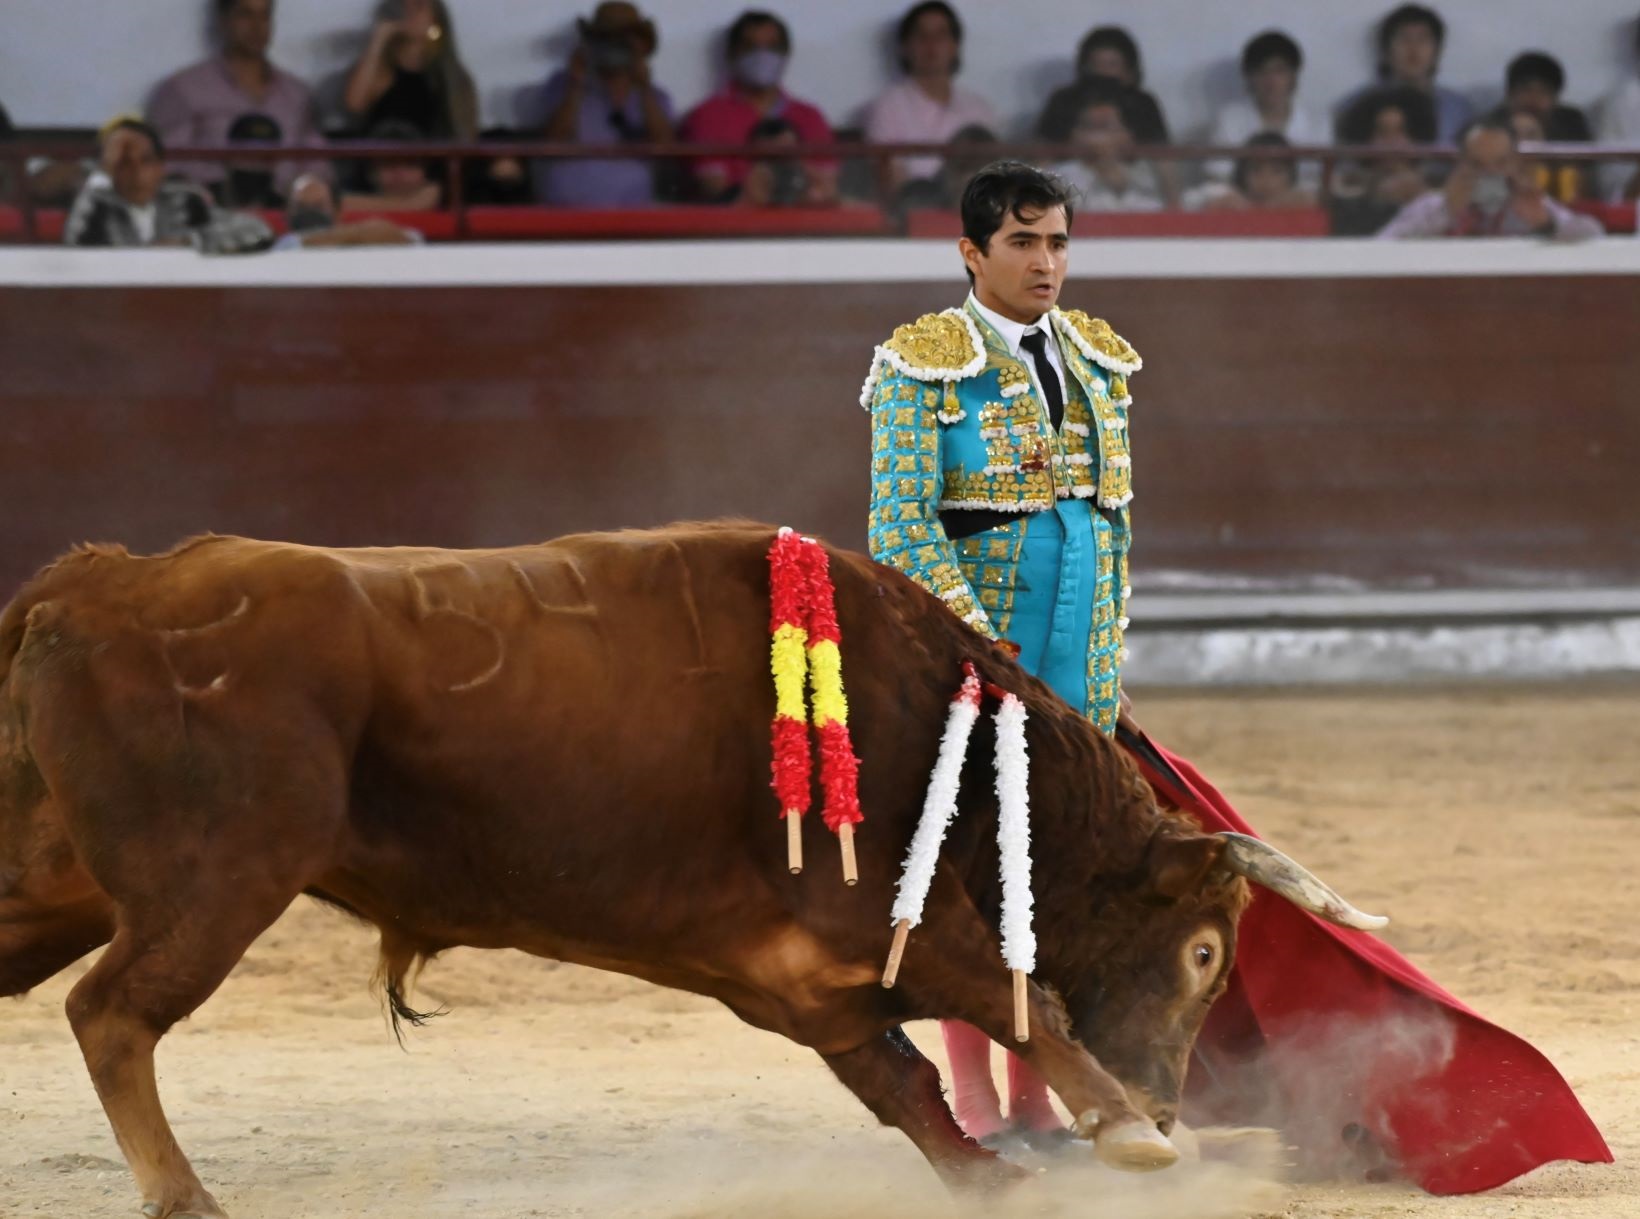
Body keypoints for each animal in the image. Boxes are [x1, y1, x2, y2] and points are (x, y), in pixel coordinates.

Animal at [0, 522, 1382, 1218]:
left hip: (59, 883)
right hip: (219, 878)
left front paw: (998, 1178)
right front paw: (1121, 1142)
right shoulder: (880, 920)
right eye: (1203, 952)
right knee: (110, 1012)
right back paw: (186, 1197)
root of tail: (93, 582)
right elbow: (1015, 996)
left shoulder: (803, 985)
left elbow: (907, 1090)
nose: (1164, 1103)